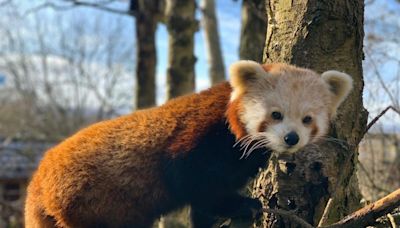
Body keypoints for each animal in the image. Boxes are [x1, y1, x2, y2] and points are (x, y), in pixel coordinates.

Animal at [25, 61, 354, 228]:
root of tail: (38, 179)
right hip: (93, 206)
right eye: (276, 114)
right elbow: (191, 181)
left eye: (307, 119)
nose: (291, 137)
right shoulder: (199, 140)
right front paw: (242, 205)